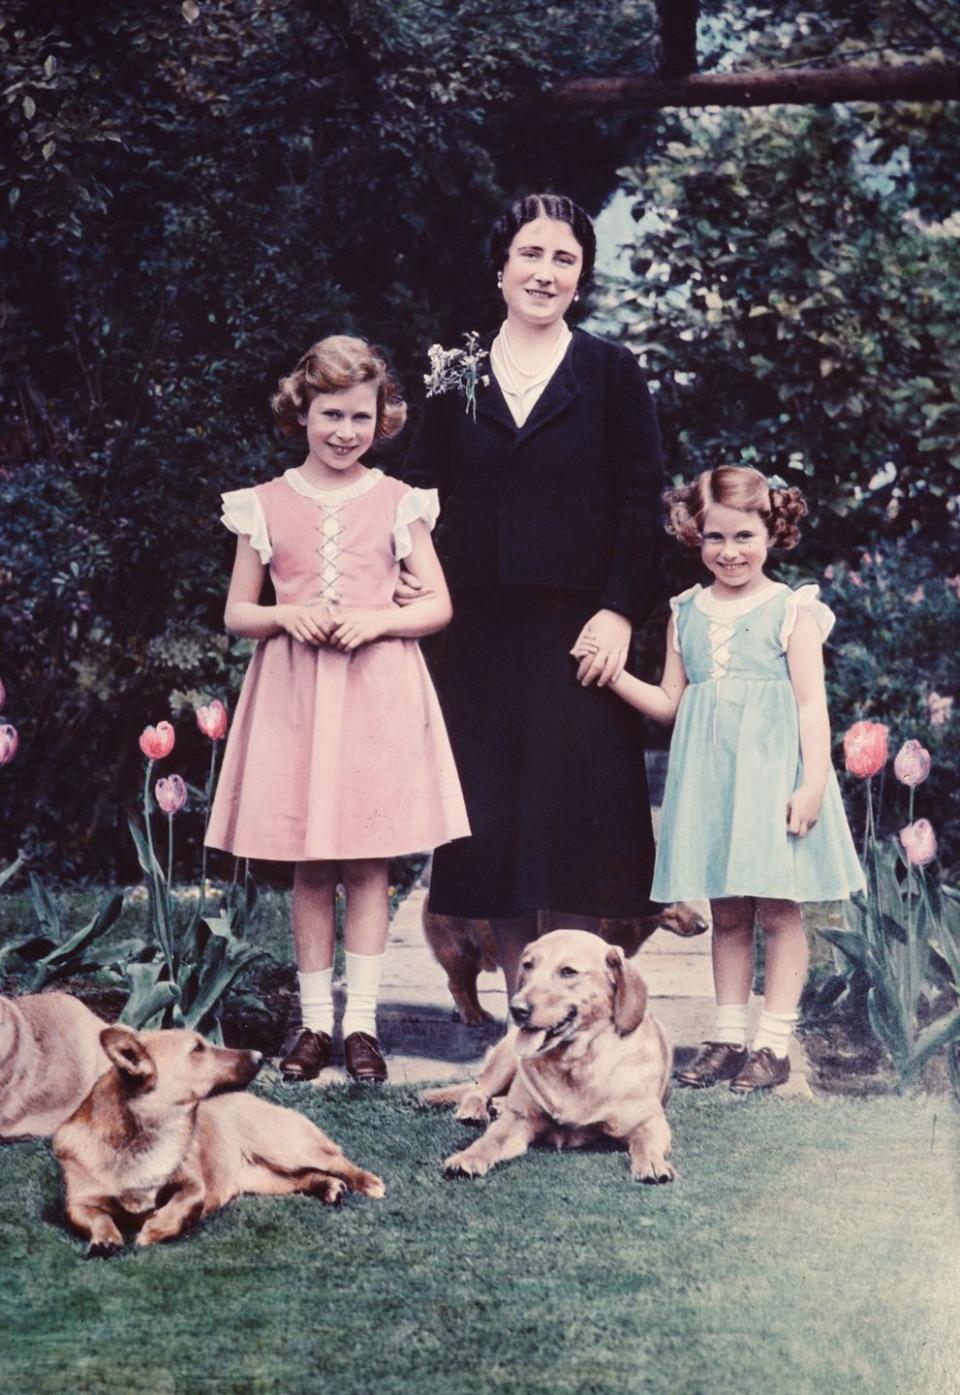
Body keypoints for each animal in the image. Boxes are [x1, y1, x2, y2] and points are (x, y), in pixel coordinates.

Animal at [54, 1026, 385, 1255]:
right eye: (197, 1049)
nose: (260, 1056)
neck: (145, 1137)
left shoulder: (193, 1185)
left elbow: (184, 1202)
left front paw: (157, 1228)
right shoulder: (76, 1204)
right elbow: (96, 1218)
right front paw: (106, 1238)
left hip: (287, 1147)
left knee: (335, 1160)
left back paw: (366, 1181)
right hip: (267, 1179)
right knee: (308, 1178)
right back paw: (329, 1187)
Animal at [418, 931, 675, 1182]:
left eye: (568, 971)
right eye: (528, 965)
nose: (516, 1009)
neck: (575, 1063)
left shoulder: (649, 1121)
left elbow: (646, 1143)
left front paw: (653, 1162)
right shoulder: (516, 1122)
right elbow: (489, 1140)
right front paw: (468, 1156)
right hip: (506, 1059)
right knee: (477, 1089)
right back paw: (475, 1110)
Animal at [424, 903, 708, 1026]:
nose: (705, 926)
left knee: (469, 984)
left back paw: (477, 1012)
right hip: (456, 952)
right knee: (456, 985)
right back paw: (470, 1015)